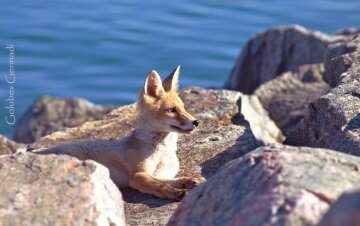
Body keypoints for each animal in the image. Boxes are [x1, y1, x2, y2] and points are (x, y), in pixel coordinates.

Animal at [37, 66, 205, 201]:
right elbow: (160, 186)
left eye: (183, 108)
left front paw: (189, 181)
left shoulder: (159, 173)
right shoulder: (137, 175)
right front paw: (176, 193)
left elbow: (173, 180)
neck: (162, 153)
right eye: (171, 110)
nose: (196, 122)